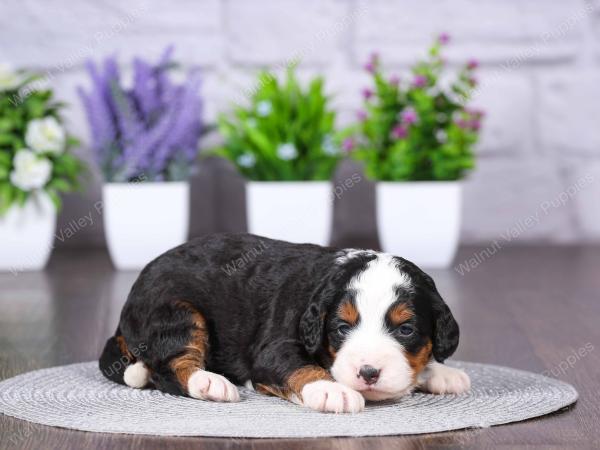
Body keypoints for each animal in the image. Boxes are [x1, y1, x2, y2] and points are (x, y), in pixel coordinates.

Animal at [101, 234, 472, 414]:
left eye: (405, 330)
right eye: (342, 327)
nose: (368, 373)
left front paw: (441, 372)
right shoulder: (273, 348)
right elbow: (301, 367)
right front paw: (332, 390)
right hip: (177, 311)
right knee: (170, 367)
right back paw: (210, 383)